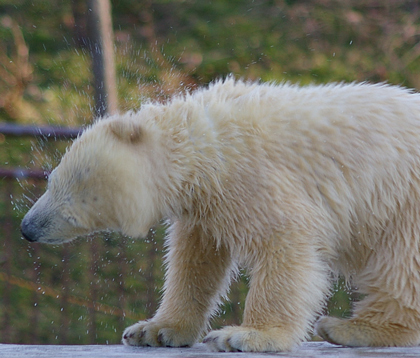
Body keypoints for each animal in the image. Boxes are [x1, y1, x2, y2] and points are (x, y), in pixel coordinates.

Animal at [20, 79, 420, 352]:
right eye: (52, 180)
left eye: (77, 199)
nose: (28, 228)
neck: (203, 143)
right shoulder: (206, 205)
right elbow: (196, 261)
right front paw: (154, 330)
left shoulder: (252, 178)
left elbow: (285, 242)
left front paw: (246, 335)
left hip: (405, 200)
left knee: (401, 266)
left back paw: (350, 328)